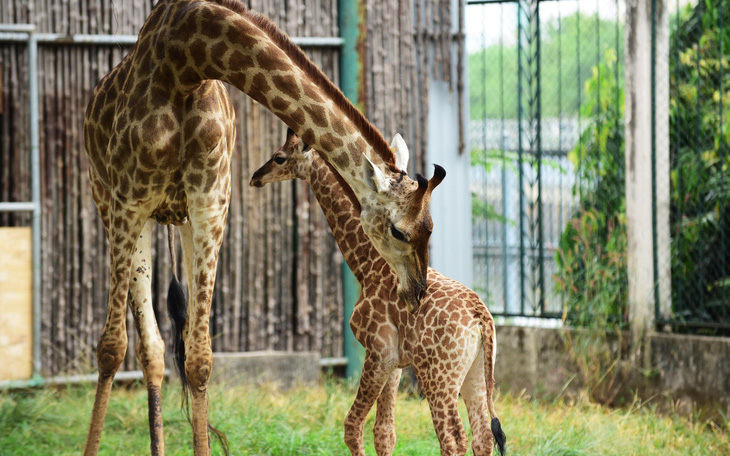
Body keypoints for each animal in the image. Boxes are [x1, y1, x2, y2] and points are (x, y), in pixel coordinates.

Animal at [82, 0, 440, 456]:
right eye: (399, 232)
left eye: (431, 227)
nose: (417, 292)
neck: (185, 58)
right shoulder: (129, 198)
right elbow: (111, 348)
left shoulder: (210, 203)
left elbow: (200, 359)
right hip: (112, 202)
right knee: (144, 344)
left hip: (178, 221)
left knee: (165, 346)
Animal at [247, 129, 504, 456]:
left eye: (279, 157)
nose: (256, 176)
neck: (366, 263)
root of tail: (481, 317)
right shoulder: (395, 363)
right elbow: (384, 431)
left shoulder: (378, 352)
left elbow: (352, 425)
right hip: (477, 373)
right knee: (483, 435)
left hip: (438, 376)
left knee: (453, 438)